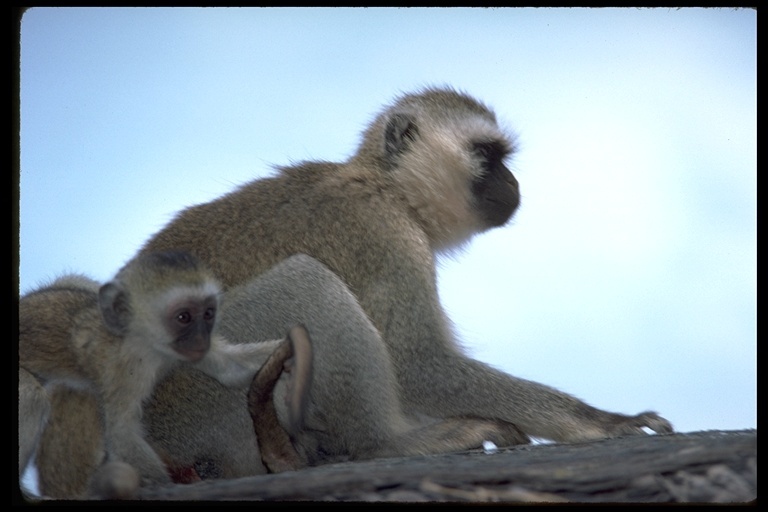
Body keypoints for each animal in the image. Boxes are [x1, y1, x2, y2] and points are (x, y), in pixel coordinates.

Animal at [17, 250, 308, 498]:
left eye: (208, 313)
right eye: (184, 317)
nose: (201, 338)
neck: (151, 346)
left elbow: (230, 370)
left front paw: (293, 353)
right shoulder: (123, 369)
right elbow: (122, 433)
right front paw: (169, 489)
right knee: (31, 394)